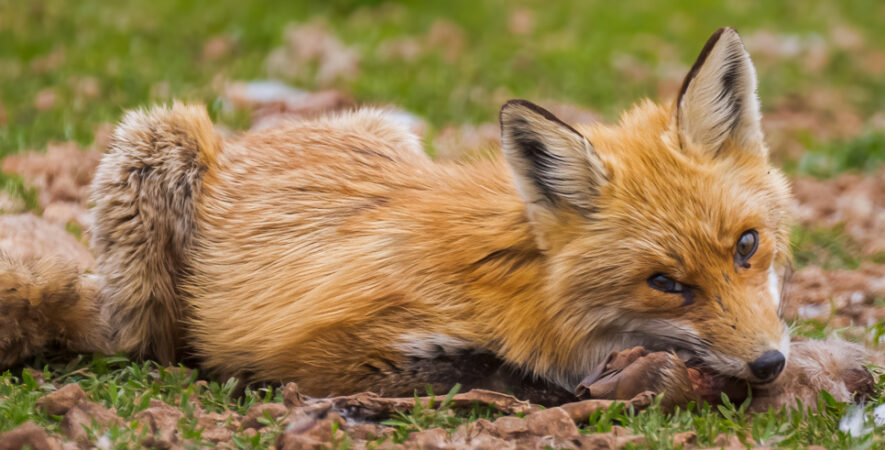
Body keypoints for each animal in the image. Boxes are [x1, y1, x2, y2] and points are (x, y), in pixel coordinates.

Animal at [0, 28, 796, 404]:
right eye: (665, 283)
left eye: (746, 246)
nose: (770, 363)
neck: (531, 292)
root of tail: (260, 134)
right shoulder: (323, 348)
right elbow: (490, 372)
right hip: (156, 155)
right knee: (147, 346)